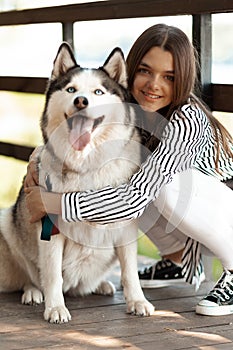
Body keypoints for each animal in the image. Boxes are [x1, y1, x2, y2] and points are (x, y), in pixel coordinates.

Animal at [0, 43, 155, 322]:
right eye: (71, 89)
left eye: (98, 91)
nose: (81, 101)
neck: (86, 163)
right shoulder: (49, 228)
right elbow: (51, 274)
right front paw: (55, 308)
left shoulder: (125, 226)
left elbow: (130, 272)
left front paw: (137, 301)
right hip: (7, 221)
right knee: (31, 275)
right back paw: (33, 292)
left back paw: (101, 285)